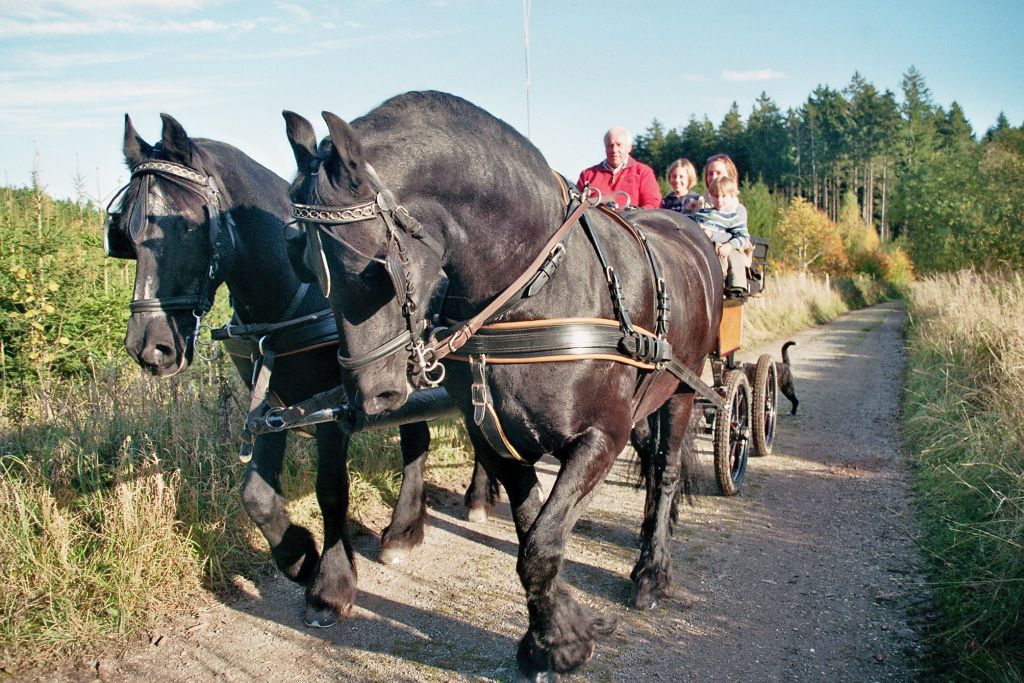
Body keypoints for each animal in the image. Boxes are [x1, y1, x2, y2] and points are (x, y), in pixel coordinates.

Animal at [109, 113, 499, 630]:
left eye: (189, 226)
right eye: (125, 235)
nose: (148, 347)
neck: (292, 298)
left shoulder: (337, 406)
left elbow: (330, 490)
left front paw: (330, 585)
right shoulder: (274, 403)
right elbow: (255, 494)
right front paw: (298, 556)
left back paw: (466, 503)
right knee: (425, 437)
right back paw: (412, 527)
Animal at [282, 92, 720, 683]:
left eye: (374, 268)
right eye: (303, 262)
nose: (368, 396)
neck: (539, 291)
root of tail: (689, 230)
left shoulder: (600, 437)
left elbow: (542, 545)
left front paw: (559, 645)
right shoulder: (501, 439)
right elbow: (534, 534)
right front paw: (557, 631)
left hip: (681, 392)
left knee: (666, 472)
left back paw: (652, 571)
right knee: (651, 469)